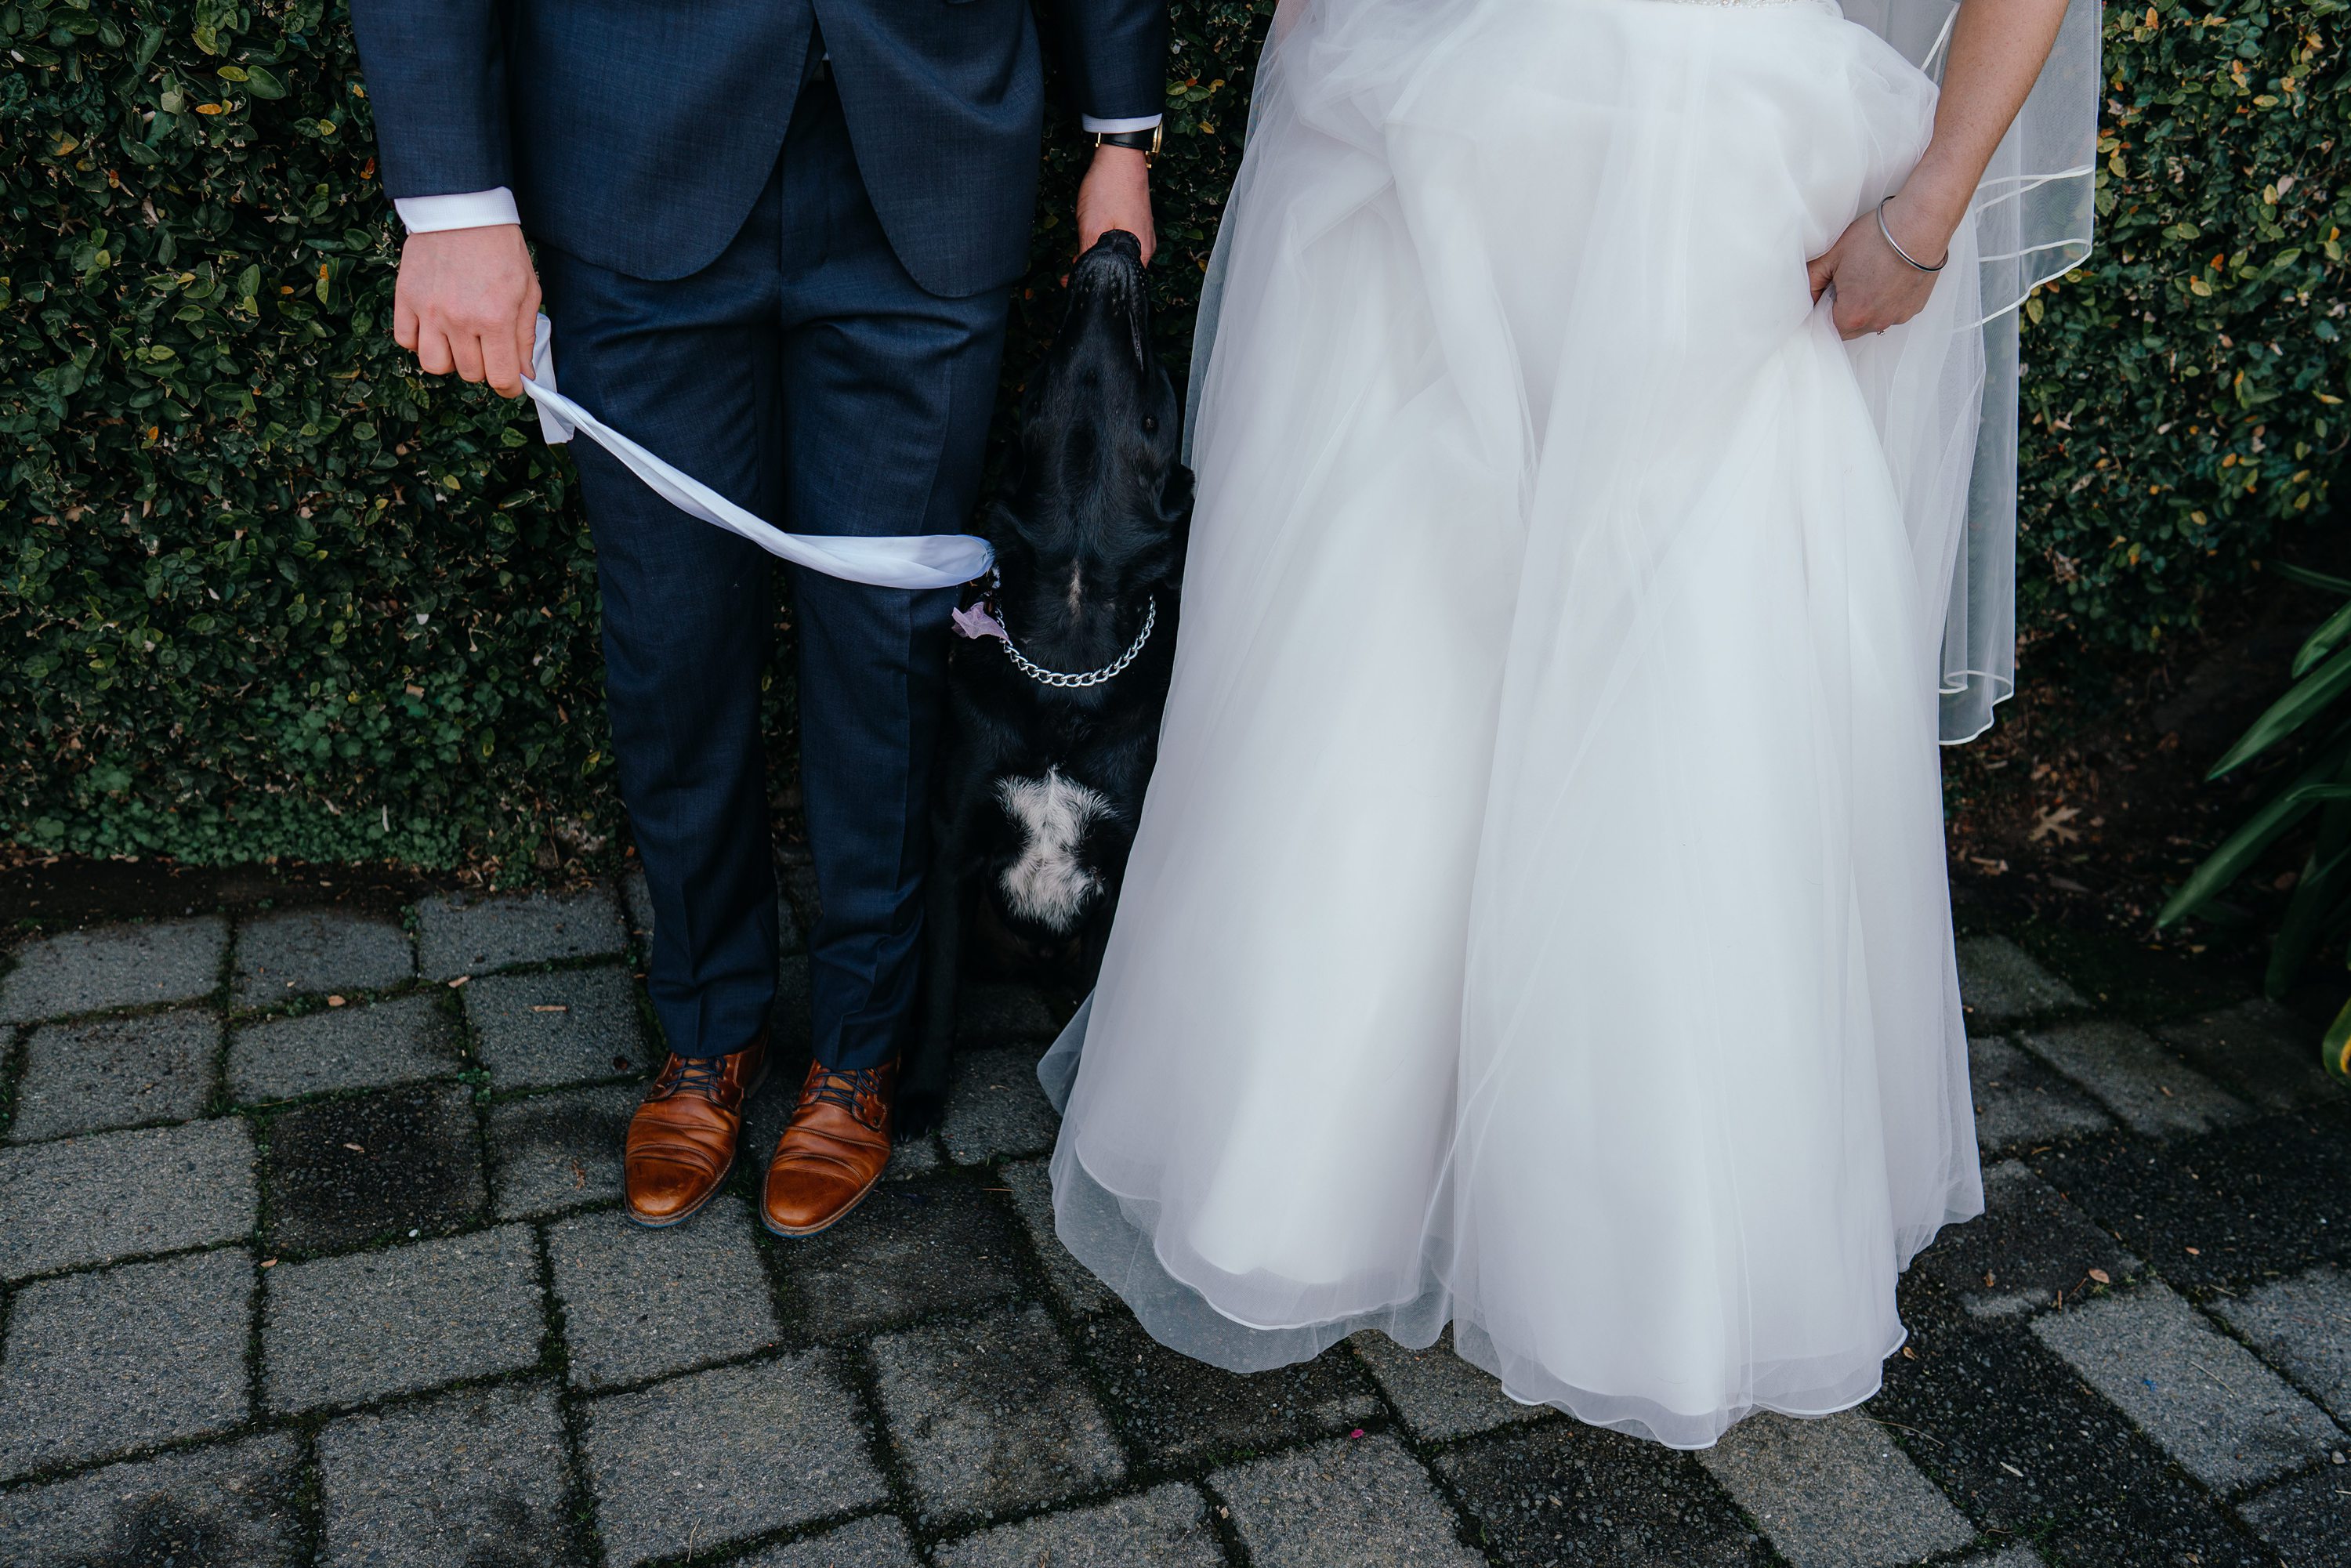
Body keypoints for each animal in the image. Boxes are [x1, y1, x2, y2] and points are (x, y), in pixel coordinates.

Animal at [898, 230, 1194, 1143]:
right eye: (1042, 373)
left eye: (1157, 392)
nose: (1118, 238)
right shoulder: (955, 850)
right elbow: (936, 996)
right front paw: (919, 1095)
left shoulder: (1122, 870)